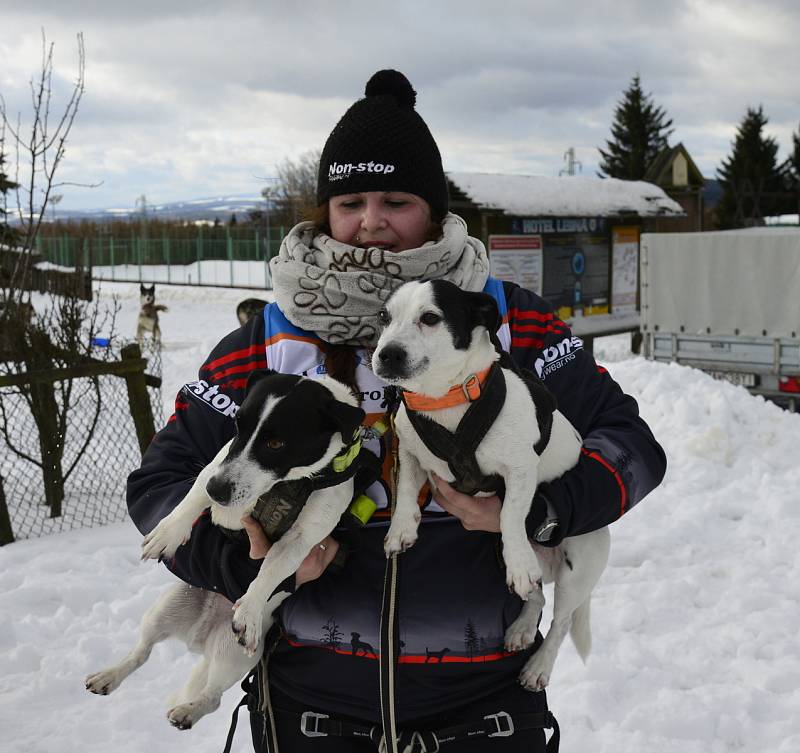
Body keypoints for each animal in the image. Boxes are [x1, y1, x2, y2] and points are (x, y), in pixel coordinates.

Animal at [83, 372, 362, 728]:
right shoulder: (216, 465)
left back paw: (188, 711)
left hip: (234, 655)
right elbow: (190, 500)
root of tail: (200, 640)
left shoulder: (303, 538)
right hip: (166, 608)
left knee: (213, 697)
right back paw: (109, 676)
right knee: (141, 652)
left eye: (276, 443)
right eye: (237, 426)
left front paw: (250, 609)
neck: (285, 484)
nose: (217, 491)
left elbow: (270, 571)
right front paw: (166, 534)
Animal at [372, 280, 608, 688]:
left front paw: (519, 559)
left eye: (430, 317)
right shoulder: (411, 454)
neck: (444, 402)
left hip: (576, 570)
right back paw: (522, 628)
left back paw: (539, 665)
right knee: (535, 597)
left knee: (560, 620)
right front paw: (401, 529)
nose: (387, 355)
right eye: (384, 316)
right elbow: (405, 492)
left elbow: (511, 516)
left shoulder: (520, 470)